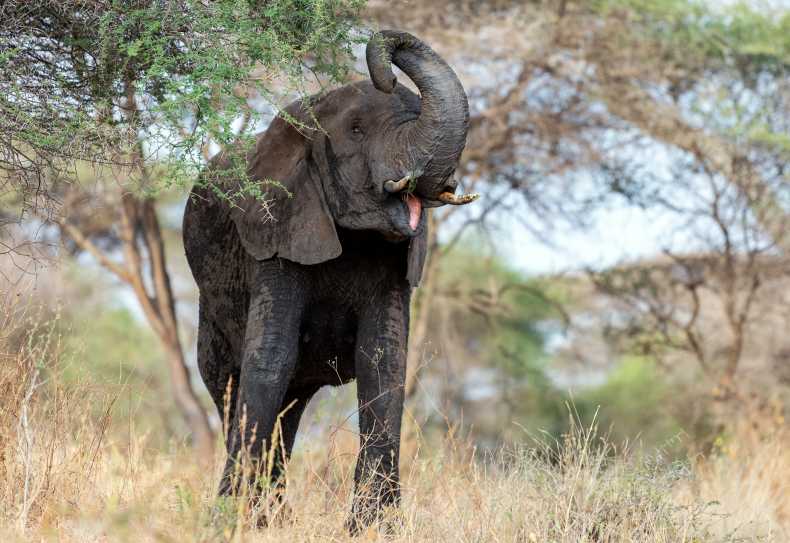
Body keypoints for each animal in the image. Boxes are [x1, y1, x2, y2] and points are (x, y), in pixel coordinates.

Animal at [183, 29, 476, 531]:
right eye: (356, 131)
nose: (386, 65)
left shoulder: (394, 263)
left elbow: (383, 362)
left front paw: (375, 528)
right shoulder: (275, 234)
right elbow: (270, 358)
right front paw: (230, 521)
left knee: (291, 407)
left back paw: (276, 517)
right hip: (212, 311)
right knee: (227, 386)